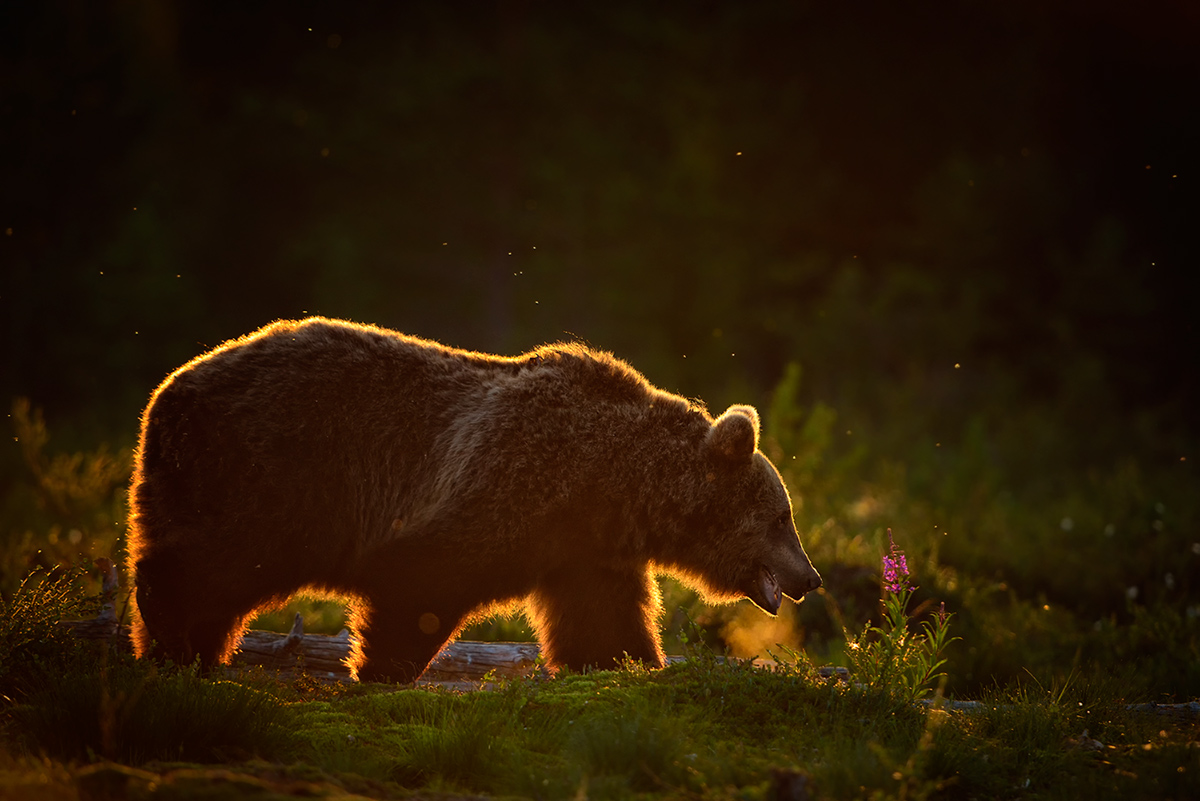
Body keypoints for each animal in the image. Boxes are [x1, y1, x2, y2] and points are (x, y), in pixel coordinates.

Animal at [126, 316, 820, 681]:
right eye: (781, 518)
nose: (809, 576)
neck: (613, 485)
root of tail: (164, 395)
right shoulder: (505, 484)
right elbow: (424, 580)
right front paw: (383, 667)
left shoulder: (584, 551)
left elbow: (602, 620)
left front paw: (630, 664)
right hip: (266, 473)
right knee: (212, 562)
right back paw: (173, 641)